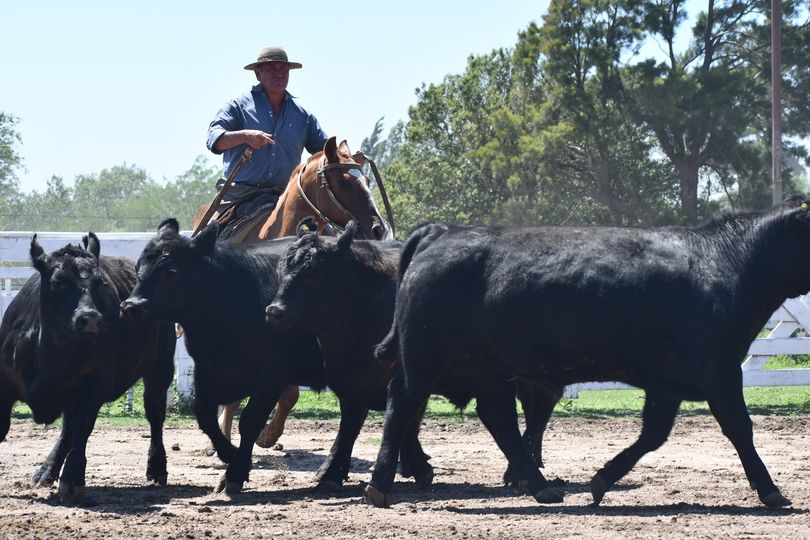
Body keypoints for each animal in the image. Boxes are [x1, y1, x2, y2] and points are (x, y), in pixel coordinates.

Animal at [0, 232, 175, 502]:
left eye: (99, 283)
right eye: (58, 281)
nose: (90, 318)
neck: (49, 353)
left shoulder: (95, 383)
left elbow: (82, 425)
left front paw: (72, 480)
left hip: (160, 370)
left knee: (155, 415)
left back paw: (156, 468)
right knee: (66, 430)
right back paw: (46, 471)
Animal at [118, 219, 326, 494]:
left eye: (170, 271)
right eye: (137, 267)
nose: (130, 306)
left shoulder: (272, 374)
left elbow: (250, 420)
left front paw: (236, 472)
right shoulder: (207, 369)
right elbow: (205, 415)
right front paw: (229, 455)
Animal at [266, 220, 560, 494]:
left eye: (313, 274)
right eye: (283, 271)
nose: (274, 311)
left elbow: (406, 420)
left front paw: (415, 466)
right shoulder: (351, 381)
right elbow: (350, 425)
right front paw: (330, 473)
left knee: (538, 409)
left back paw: (521, 469)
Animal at [364, 200, 808, 508]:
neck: (726, 261)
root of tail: (441, 232)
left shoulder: (669, 383)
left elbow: (653, 434)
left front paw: (602, 480)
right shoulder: (720, 370)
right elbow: (740, 428)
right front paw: (771, 491)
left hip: (485, 367)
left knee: (497, 417)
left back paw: (541, 487)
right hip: (427, 357)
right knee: (403, 401)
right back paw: (379, 486)